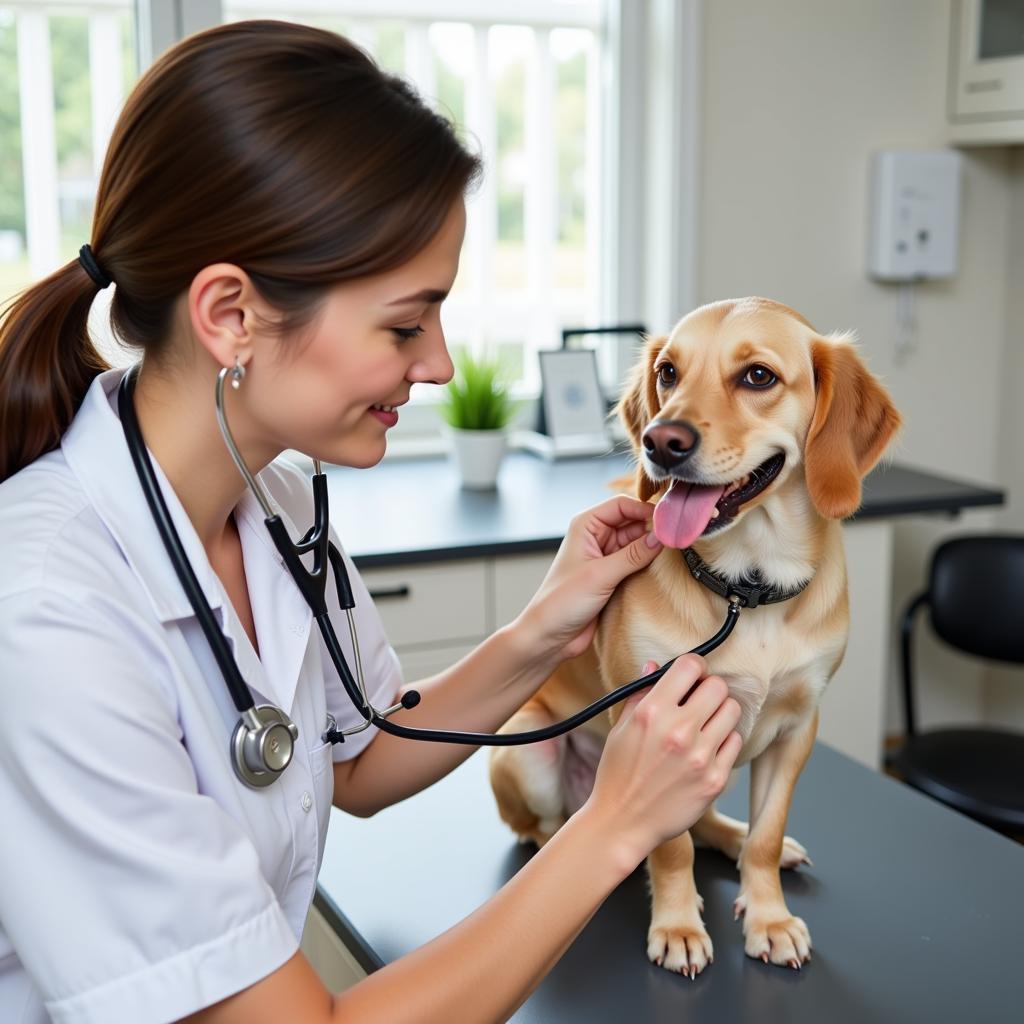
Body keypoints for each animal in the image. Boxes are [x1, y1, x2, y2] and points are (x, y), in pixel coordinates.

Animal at [491, 294, 901, 974]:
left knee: (715, 823)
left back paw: (731, 837)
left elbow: (764, 837)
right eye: (668, 374)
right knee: (548, 832)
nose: (661, 441)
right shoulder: (655, 724)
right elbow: (670, 847)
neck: (747, 588)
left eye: (758, 376)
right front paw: (678, 925)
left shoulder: (798, 727)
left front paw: (769, 916)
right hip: (527, 753)